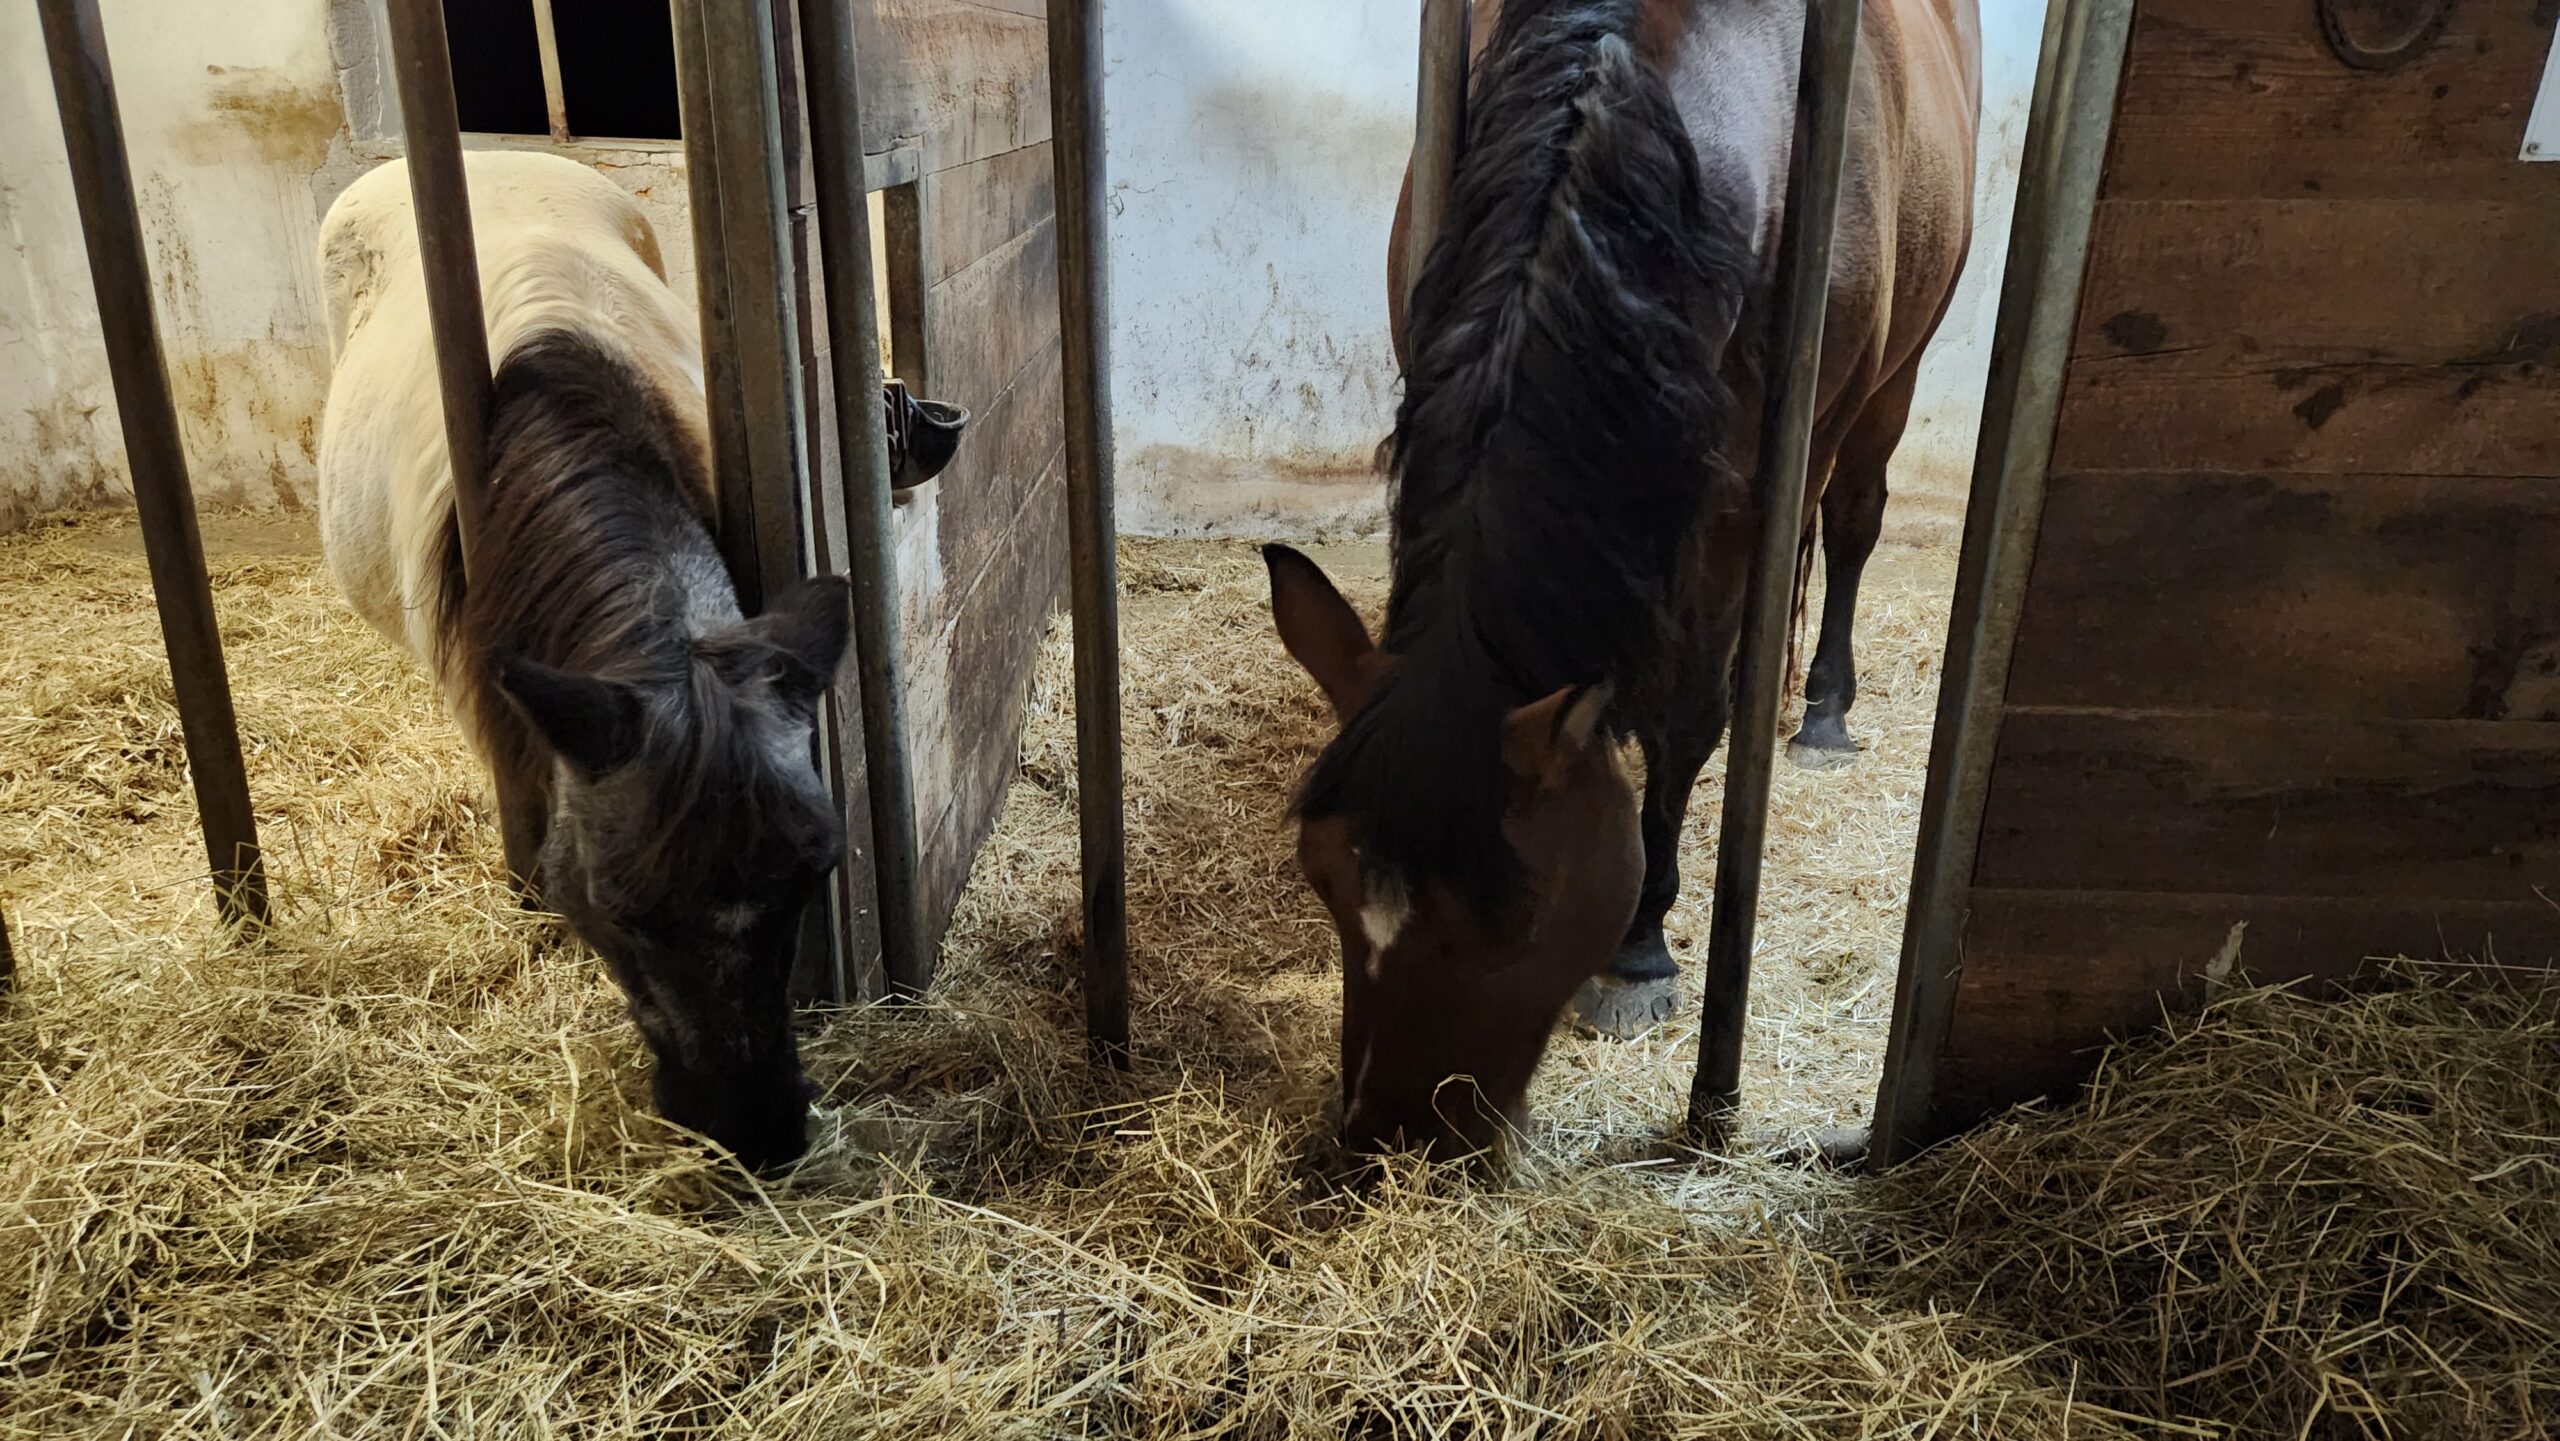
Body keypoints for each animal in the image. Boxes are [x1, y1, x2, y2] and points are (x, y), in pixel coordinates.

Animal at [1265, 0, 1979, 1154]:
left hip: (1887, 385)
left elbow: (1690, 715)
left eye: (1520, 917)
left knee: (1850, 522)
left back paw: (1821, 708)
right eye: (1317, 874)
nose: (1388, 1132)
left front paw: (1641, 949)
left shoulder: (1745, 502)